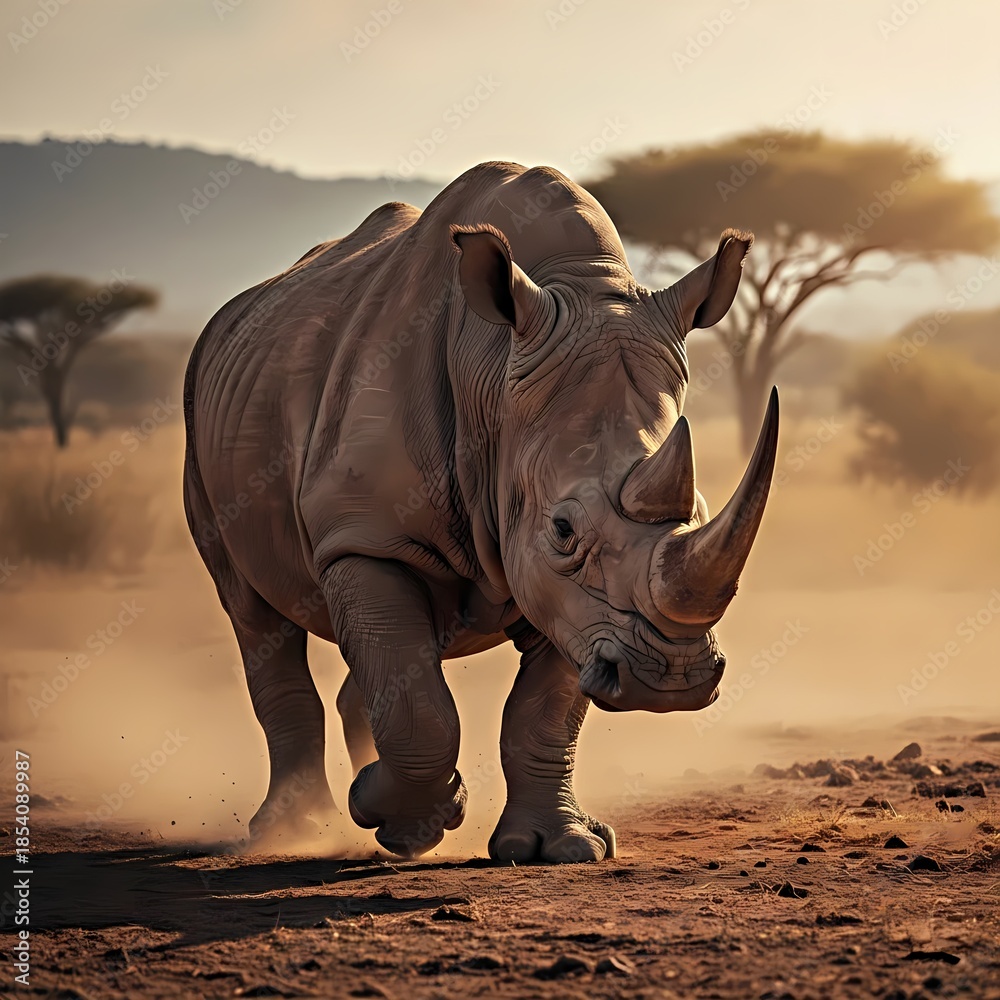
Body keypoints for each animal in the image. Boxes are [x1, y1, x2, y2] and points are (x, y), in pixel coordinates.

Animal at [183, 161, 778, 862]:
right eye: (563, 530)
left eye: (703, 510)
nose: (671, 679)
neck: (492, 376)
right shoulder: (366, 535)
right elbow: (420, 706)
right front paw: (402, 810)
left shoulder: (574, 602)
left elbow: (543, 710)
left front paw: (561, 846)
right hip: (201, 421)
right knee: (253, 612)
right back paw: (293, 831)